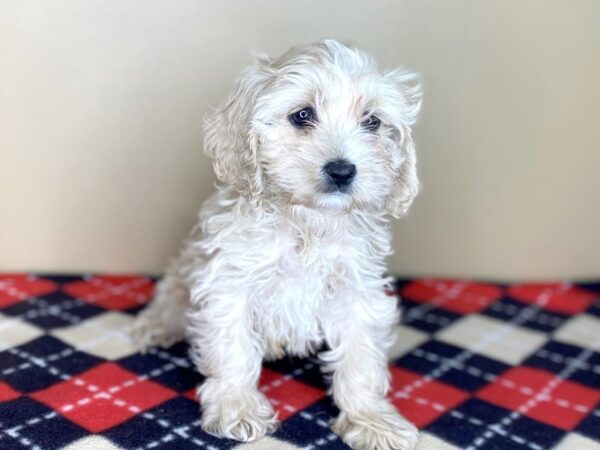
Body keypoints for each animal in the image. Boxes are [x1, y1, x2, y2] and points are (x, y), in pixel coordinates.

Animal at [132, 39, 422, 450]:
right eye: (302, 115)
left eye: (372, 121)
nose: (342, 170)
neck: (306, 221)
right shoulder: (229, 280)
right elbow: (233, 346)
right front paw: (236, 406)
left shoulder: (356, 288)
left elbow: (360, 356)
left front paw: (370, 417)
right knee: (171, 298)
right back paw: (155, 325)